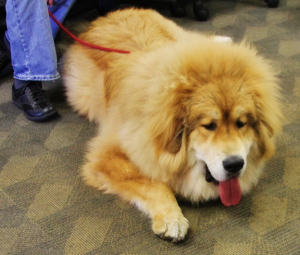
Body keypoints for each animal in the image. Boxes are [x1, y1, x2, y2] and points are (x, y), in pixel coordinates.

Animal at [62, 7, 282, 242]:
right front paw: (171, 217)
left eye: (241, 123)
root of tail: (109, 14)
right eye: (209, 125)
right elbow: (154, 183)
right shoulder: (106, 156)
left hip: (178, 35)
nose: (235, 165)